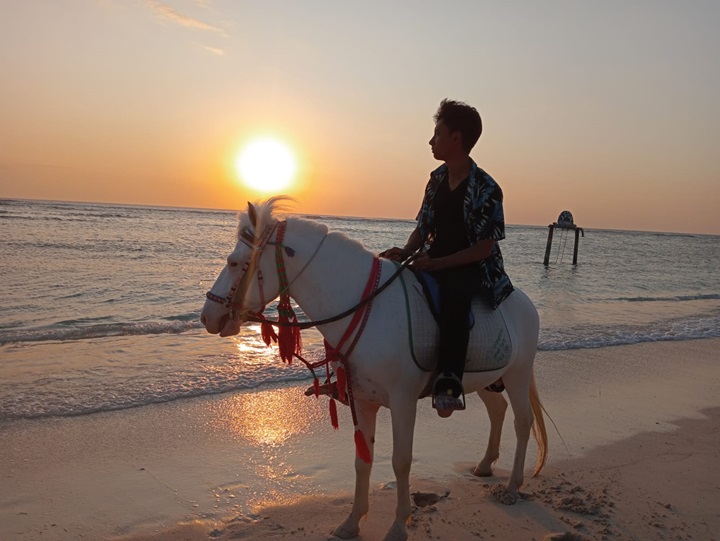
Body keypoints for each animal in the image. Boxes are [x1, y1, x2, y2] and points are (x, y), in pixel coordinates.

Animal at [200, 198, 548, 540]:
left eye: (235, 263)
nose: (207, 316)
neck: (368, 308)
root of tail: (524, 302)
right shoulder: (363, 402)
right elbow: (362, 460)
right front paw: (352, 521)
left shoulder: (403, 402)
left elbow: (401, 462)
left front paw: (398, 526)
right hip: (485, 379)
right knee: (497, 409)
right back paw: (486, 465)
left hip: (517, 374)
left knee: (522, 422)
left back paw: (512, 486)